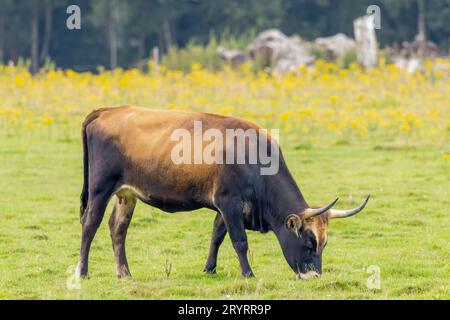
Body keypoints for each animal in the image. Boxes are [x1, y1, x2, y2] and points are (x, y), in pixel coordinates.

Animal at [76, 105, 370, 280]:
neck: (254, 158)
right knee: (90, 225)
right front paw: (248, 273)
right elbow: (239, 241)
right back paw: (83, 271)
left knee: (118, 229)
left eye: (324, 243)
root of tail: (106, 111)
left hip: (126, 194)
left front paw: (209, 268)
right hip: (100, 188)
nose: (314, 276)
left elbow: (217, 235)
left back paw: (124, 273)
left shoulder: (224, 207)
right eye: (309, 243)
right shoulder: (229, 201)